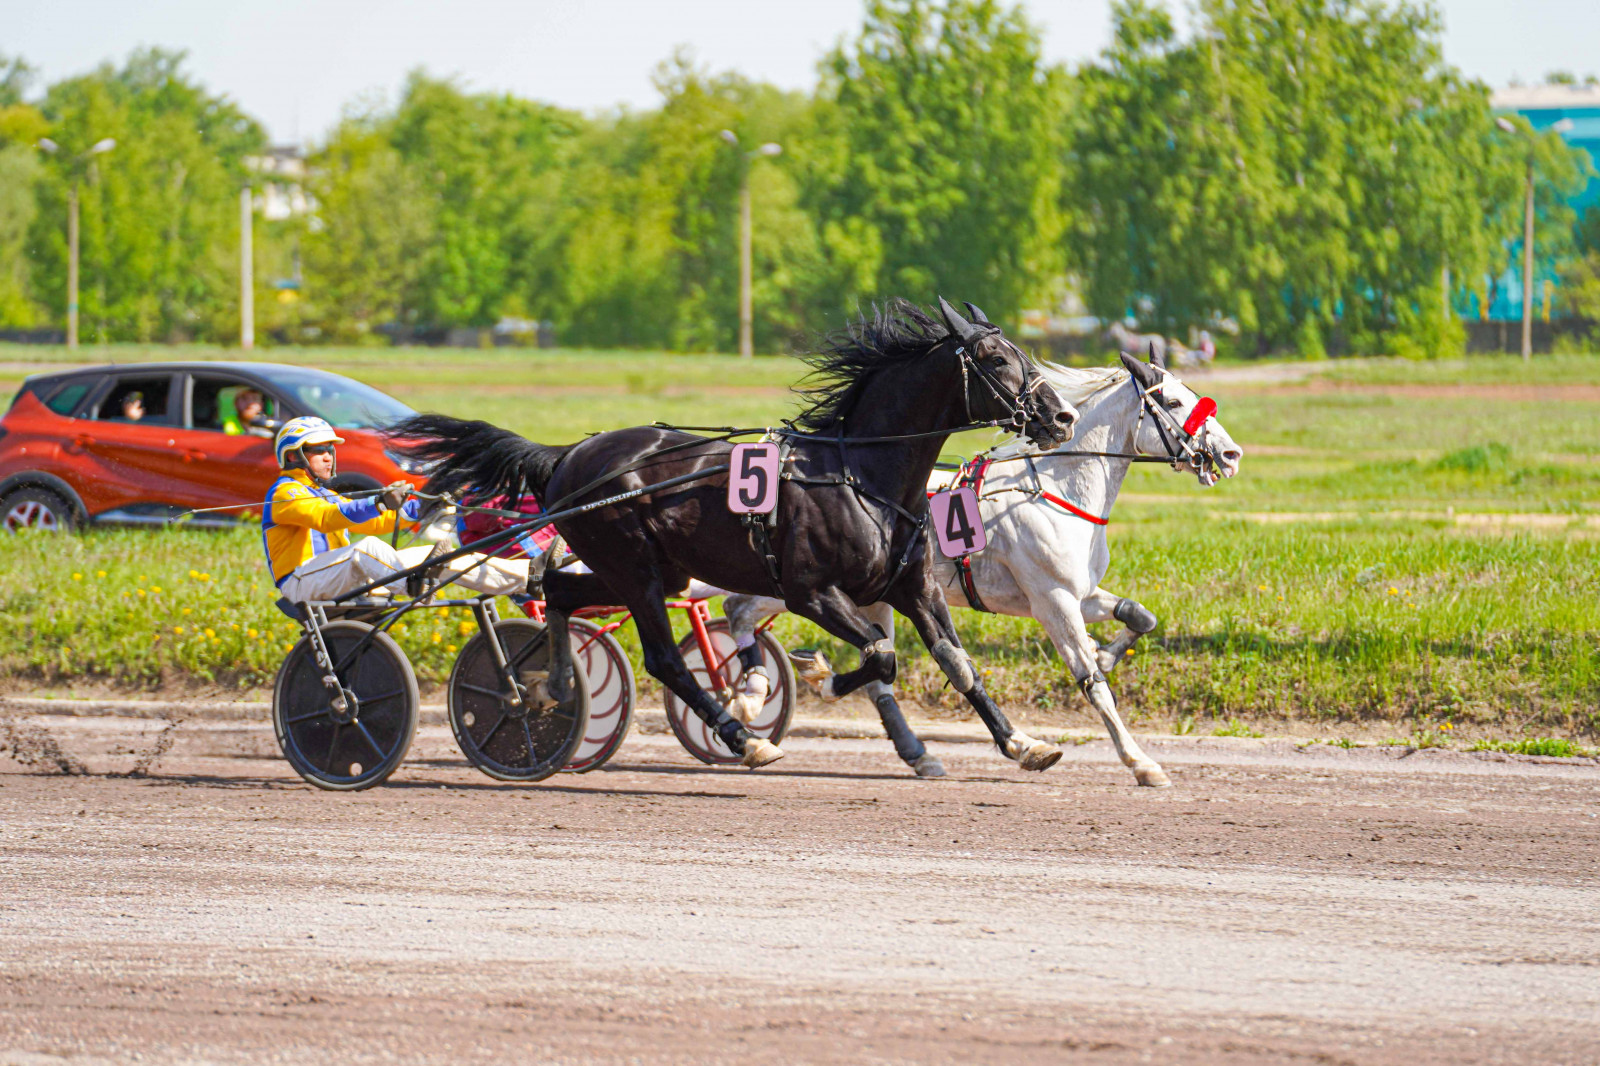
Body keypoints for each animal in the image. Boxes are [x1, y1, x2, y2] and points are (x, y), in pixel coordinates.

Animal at [395, 299, 1081, 771]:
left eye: (1022, 351)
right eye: (997, 360)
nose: (1062, 415)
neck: (859, 476)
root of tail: (567, 455)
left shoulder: (913, 589)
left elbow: (957, 663)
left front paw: (1022, 742)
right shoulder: (813, 593)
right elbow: (879, 656)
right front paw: (809, 679)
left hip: (647, 570)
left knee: (559, 593)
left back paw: (554, 684)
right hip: (635, 571)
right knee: (664, 659)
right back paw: (742, 738)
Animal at [723, 348, 1235, 781]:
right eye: (1173, 400)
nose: (1231, 454)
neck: (1056, 491)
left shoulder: (1080, 594)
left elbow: (1140, 617)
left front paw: (1105, 650)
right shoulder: (1053, 601)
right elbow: (1093, 684)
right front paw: (1140, 761)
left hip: (871, 594)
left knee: (871, 666)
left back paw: (909, 749)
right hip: (795, 584)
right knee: (737, 610)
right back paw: (752, 697)